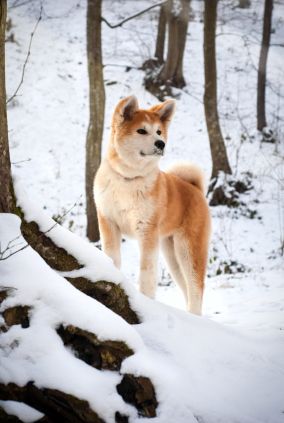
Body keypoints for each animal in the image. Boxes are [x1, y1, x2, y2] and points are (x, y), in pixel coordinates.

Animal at [94, 96, 210, 314]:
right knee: (186, 289)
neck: (128, 179)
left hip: (188, 250)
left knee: (196, 288)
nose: (161, 143)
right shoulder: (108, 222)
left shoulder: (146, 230)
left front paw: (146, 303)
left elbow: (146, 275)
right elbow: (113, 258)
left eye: (158, 131)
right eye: (141, 130)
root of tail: (195, 188)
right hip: (171, 254)